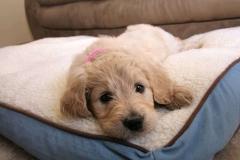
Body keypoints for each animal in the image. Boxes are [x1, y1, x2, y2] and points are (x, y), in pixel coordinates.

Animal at [61, 24, 194, 139]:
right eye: (105, 97)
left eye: (139, 88)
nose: (134, 122)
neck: (104, 53)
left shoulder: (150, 60)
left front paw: (176, 94)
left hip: (170, 43)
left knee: (181, 44)